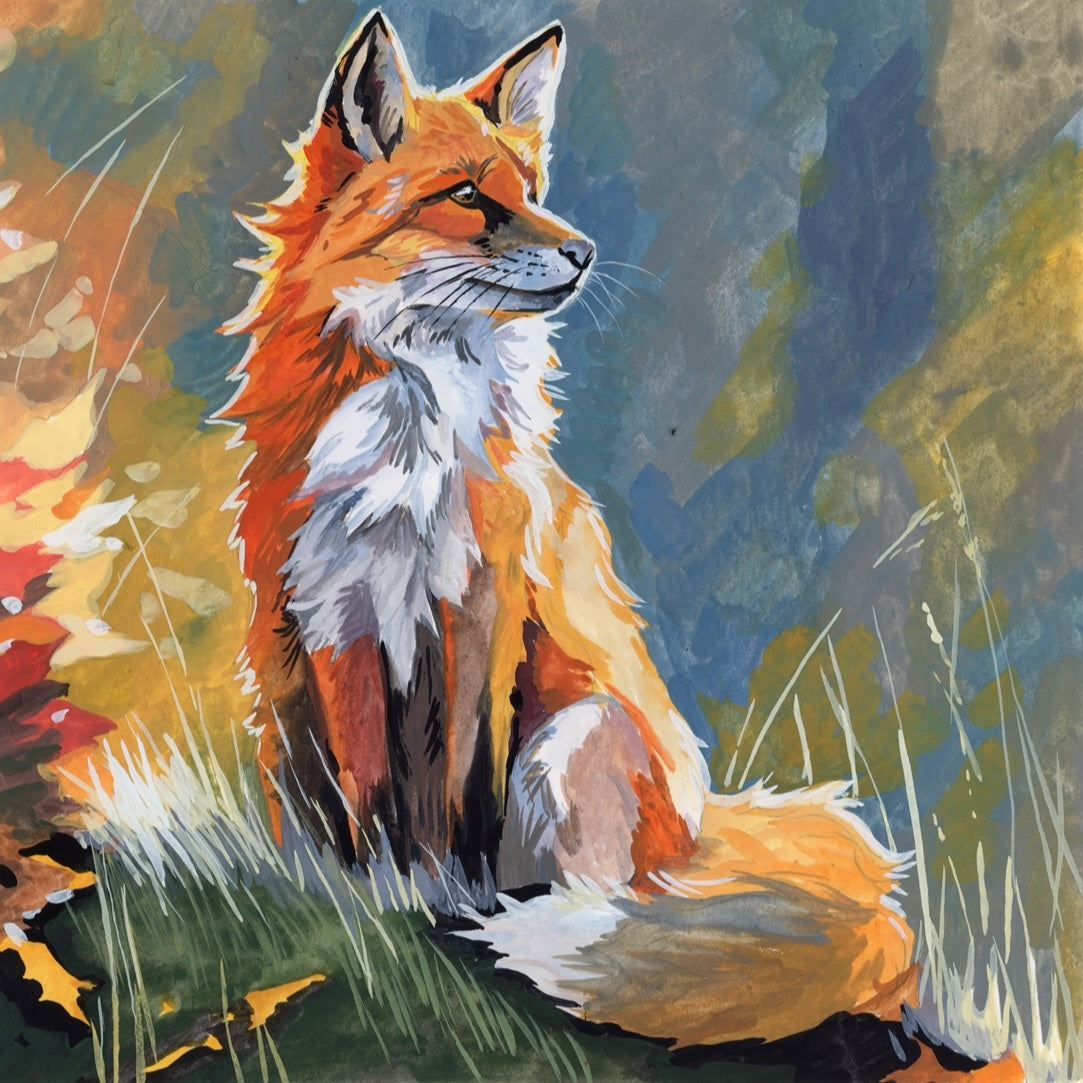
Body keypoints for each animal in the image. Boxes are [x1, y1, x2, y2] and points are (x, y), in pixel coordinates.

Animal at [218, 10, 938, 1054]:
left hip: (576, 733)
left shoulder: (479, 602)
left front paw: (448, 895)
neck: (411, 431)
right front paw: (375, 894)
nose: (587, 251)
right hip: (289, 715)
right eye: (467, 196)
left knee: (612, 903)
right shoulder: (333, 615)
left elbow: (459, 790)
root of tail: (699, 824)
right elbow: (367, 794)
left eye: (532, 191)